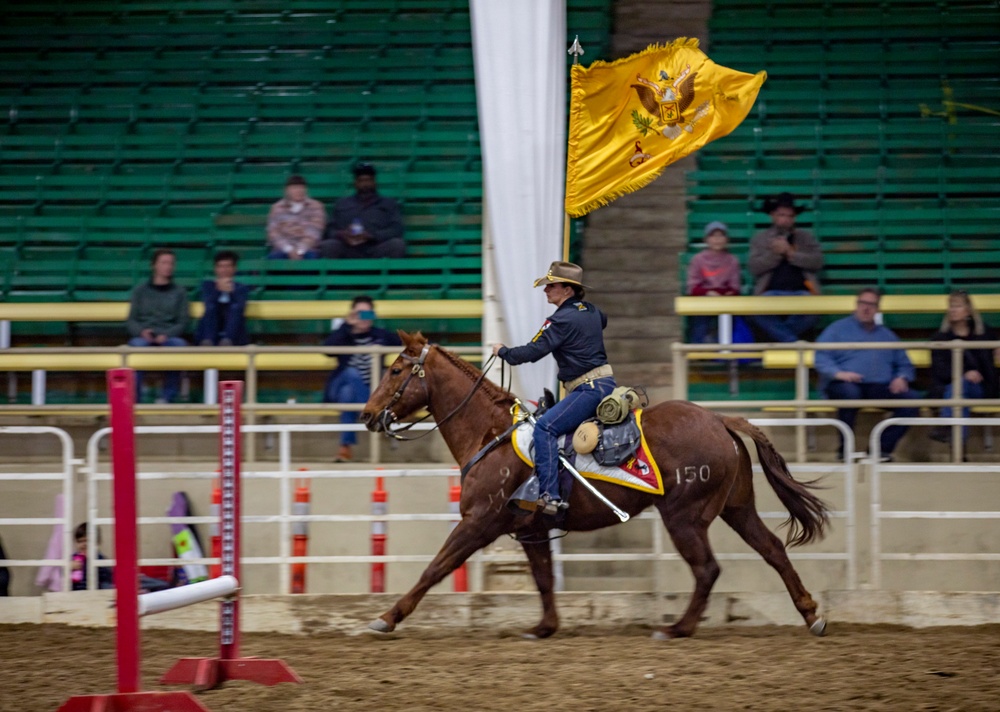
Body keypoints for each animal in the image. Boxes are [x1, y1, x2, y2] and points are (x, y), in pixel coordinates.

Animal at [360, 332, 828, 640]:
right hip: (737, 508)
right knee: (773, 549)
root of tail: (720, 419)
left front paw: (386, 617)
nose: (367, 415)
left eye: (397, 369)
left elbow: (434, 568)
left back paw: (678, 628)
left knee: (707, 569)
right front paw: (545, 627)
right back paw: (811, 615)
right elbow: (543, 578)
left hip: (685, 517)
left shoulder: (477, 523)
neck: (489, 434)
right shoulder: (530, 530)